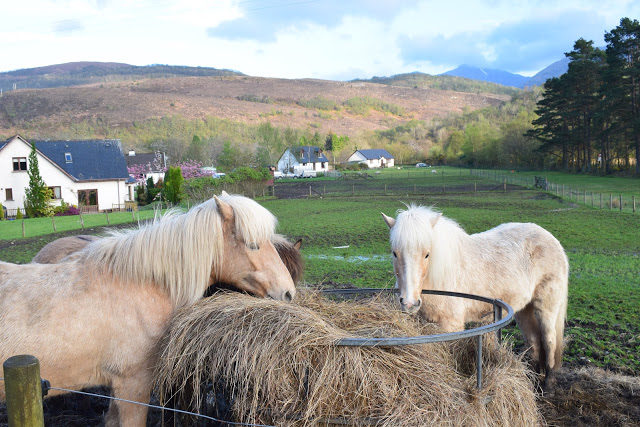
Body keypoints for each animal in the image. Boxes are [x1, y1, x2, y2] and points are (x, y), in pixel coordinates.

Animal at [381, 204, 568, 389]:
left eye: (427, 254)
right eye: (395, 253)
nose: (409, 303)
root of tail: (552, 240)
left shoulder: (451, 326)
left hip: (546, 308)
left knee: (550, 342)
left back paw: (548, 383)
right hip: (524, 311)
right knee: (534, 342)